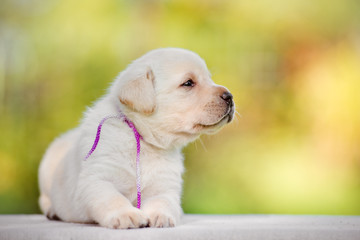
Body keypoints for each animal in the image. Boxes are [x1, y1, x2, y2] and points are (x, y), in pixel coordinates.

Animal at [38, 47, 235, 229]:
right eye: (188, 83)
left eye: (209, 78)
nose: (230, 96)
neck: (142, 138)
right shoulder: (96, 179)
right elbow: (113, 198)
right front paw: (127, 215)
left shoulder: (164, 186)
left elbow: (162, 201)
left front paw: (160, 216)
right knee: (44, 199)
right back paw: (52, 211)